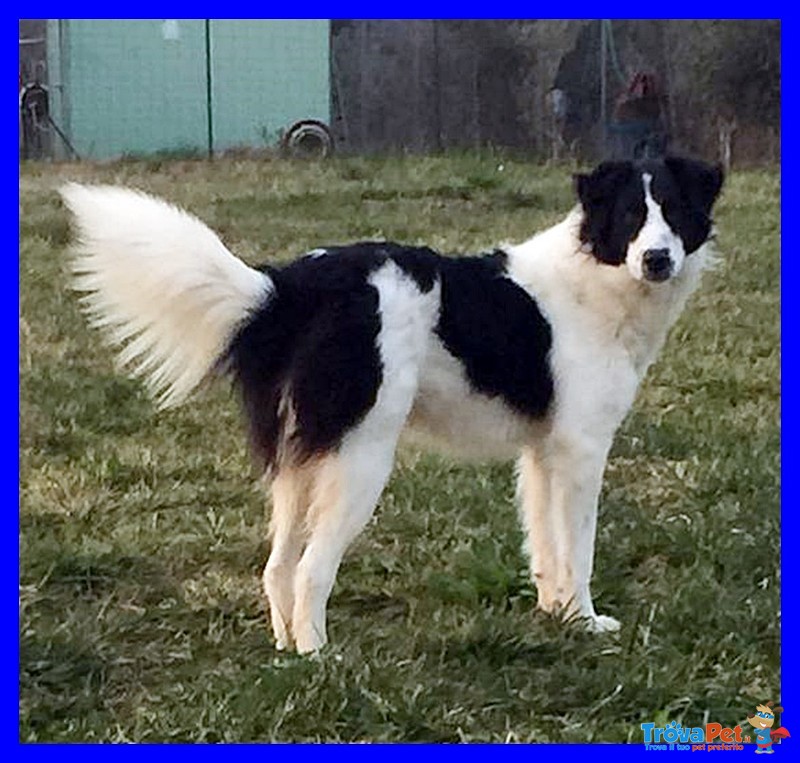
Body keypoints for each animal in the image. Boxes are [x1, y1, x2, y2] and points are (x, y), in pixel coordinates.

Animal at [62, 157, 724, 656]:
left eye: (674, 212)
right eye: (631, 216)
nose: (658, 259)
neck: (597, 278)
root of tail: (292, 287)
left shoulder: (542, 453)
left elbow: (545, 547)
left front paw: (555, 616)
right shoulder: (582, 450)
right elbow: (579, 550)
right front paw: (586, 622)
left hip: (304, 457)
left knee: (278, 566)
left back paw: (286, 647)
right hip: (360, 456)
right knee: (312, 567)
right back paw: (317, 657)